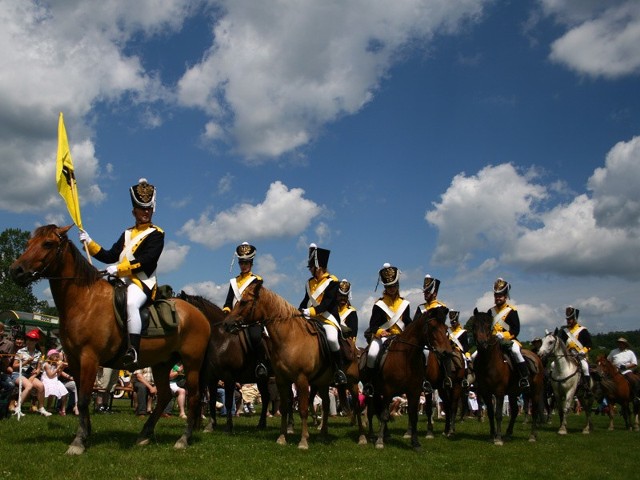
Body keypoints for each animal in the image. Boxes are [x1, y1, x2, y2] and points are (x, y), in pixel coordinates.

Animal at [8, 225, 211, 454]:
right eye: (28, 243)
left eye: (48, 244)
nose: (16, 270)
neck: (84, 300)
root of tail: (199, 315)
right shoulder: (74, 360)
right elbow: (82, 396)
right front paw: (85, 434)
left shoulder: (89, 358)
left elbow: (84, 399)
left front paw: (78, 441)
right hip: (162, 364)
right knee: (165, 396)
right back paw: (144, 435)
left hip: (192, 364)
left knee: (194, 397)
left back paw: (183, 439)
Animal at [176, 290, 272, 434]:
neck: (221, 339)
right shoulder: (212, 378)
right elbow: (211, 401)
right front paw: (211, 425)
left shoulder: (228, 377)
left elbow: (228, 402)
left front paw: (228, 427)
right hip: (262, 379)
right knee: (266, 397)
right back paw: (262, 425)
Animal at [225, 280, 364, 448]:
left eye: (244, 302)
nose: (226, 323)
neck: (291, 338)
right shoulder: (282, 380)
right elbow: (285, 408)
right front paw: (282, 437)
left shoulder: (301, 380)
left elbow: (303, 409)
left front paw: (303, 440)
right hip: (323, 383)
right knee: (325, 405)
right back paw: (322, 434)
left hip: (352, 383)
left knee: (356, 405)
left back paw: (362, 437)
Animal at [362, 308, 452, 450]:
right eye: (433, 327)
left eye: (446, 328)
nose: (447, 353)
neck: (406, 357)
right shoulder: (388, 391)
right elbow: (385, 414)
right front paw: (380, 441)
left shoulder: (414, 391)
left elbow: (413, 416)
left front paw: (415, 442)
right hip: (372, 392)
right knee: (371, 411)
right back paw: (372, 435)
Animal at [468, 310, 544, 444]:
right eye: (474, 325)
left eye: (488, 326)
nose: (482, 344)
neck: (488, 363)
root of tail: (536, 357)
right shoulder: (486, 392)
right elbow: (491, 413)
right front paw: (492, 434)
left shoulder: (499, 392)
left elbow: (498, 414)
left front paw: (498, 438)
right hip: (514, 393)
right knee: (515, 411)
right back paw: (508, 433)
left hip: (535, 391)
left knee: (534, 411)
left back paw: (532, 435)